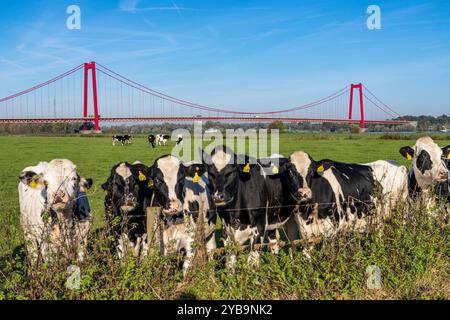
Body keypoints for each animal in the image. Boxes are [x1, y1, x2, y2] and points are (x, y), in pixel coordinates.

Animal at [280, 152, 410, 240]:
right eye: (289, 172)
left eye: (312, 171)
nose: (304, 193)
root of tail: (397, 165)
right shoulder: (305, 232)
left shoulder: (333, 229)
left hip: (400, 208)